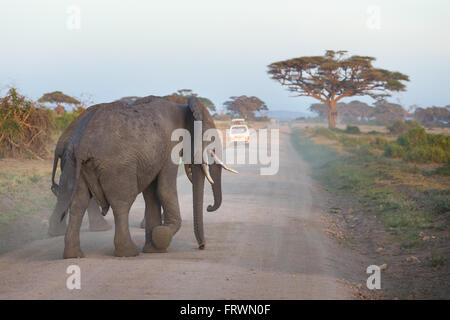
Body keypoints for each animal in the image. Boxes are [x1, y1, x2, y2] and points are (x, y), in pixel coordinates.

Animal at [52, 97, 236, 258]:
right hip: (117, 166)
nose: (201, 246)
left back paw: (74, 255)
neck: (184, 107)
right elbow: (164, 190)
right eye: (211, 138)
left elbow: (152, 195)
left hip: (72, 162)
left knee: (78, 203)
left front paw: (153, 249)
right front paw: (161, 236)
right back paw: (129, 253)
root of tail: (83, 144)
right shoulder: (170, 146)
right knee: (122, 203)